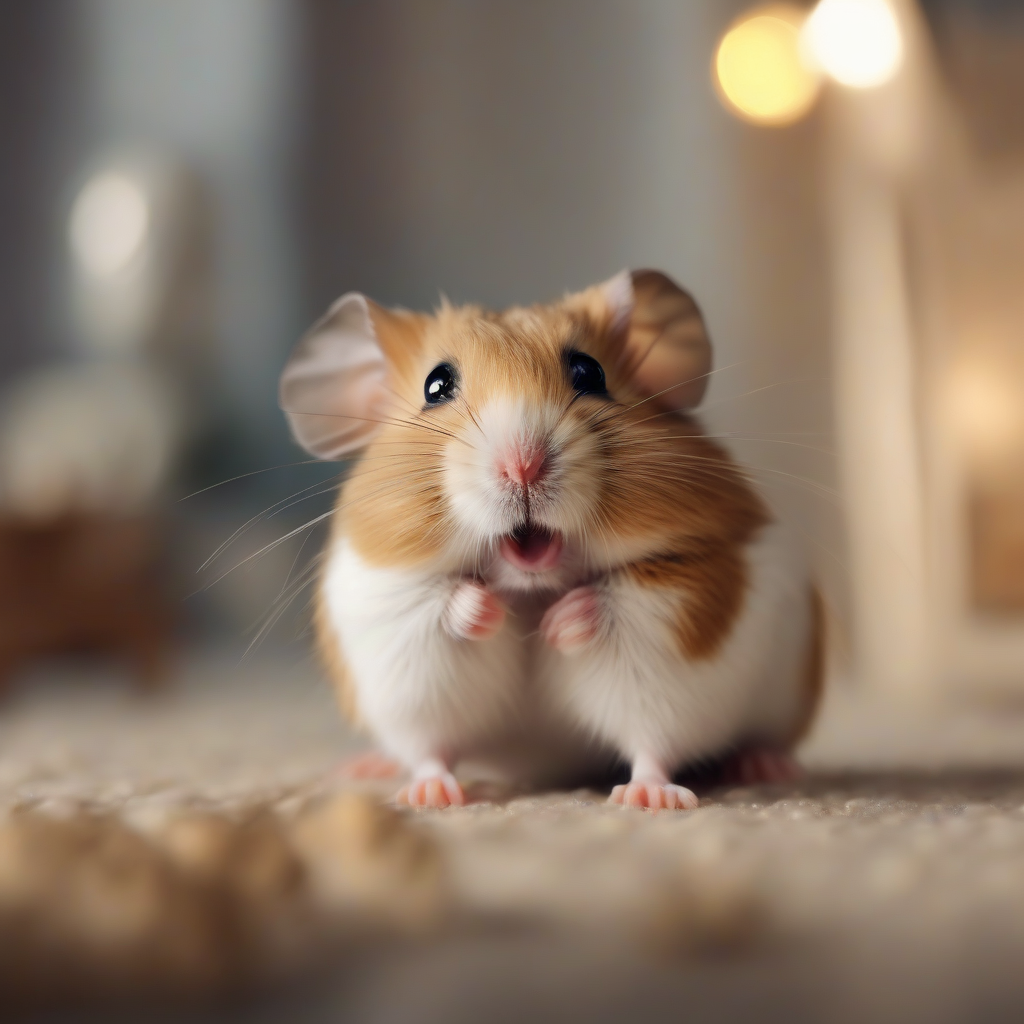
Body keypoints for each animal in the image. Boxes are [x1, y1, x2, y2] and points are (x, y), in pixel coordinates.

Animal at [279, 269, 824, 810]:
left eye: (590, 372)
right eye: (436, 386)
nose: (522, 465)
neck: (531, 586)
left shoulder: (687, 596)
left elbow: (645, 708)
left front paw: (559, 626)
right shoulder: (386, 605)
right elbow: (436, 644)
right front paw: (492, 615)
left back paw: (732, 776)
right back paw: (394, 779)